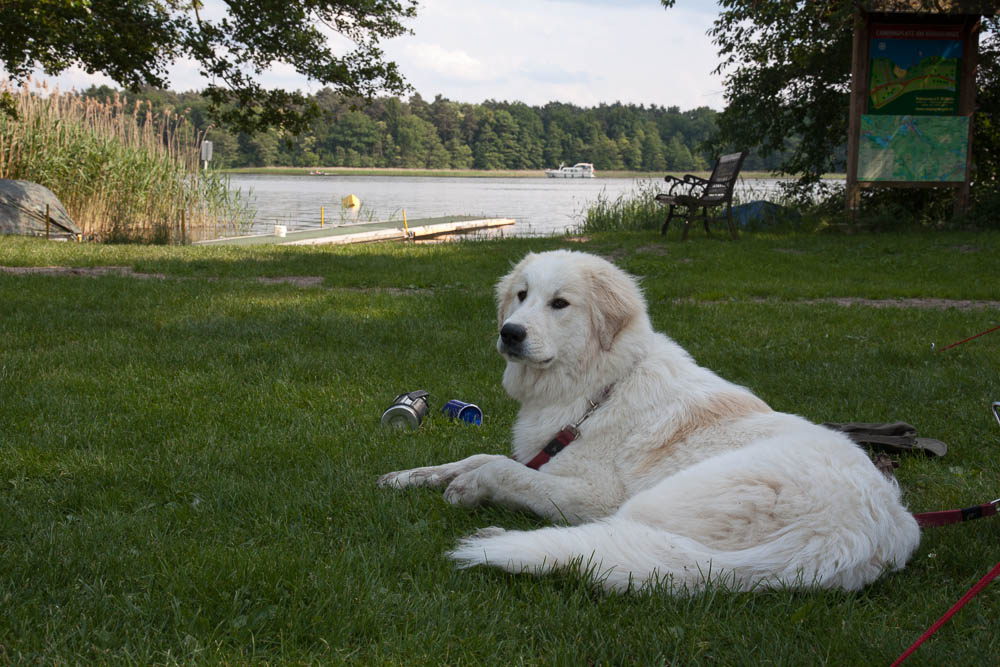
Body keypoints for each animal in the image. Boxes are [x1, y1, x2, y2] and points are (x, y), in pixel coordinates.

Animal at [376, 252, 920, 596]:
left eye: (559, 303)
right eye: (522, 296)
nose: (509, 332)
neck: (598, 388)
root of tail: (855, 541)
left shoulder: (591, 491)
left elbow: (500, 470)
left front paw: (468, 489)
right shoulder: (540, 456)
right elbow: (478, 456)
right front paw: (410, 477)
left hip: (655, 500)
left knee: (603, 541)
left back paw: (502, 538)